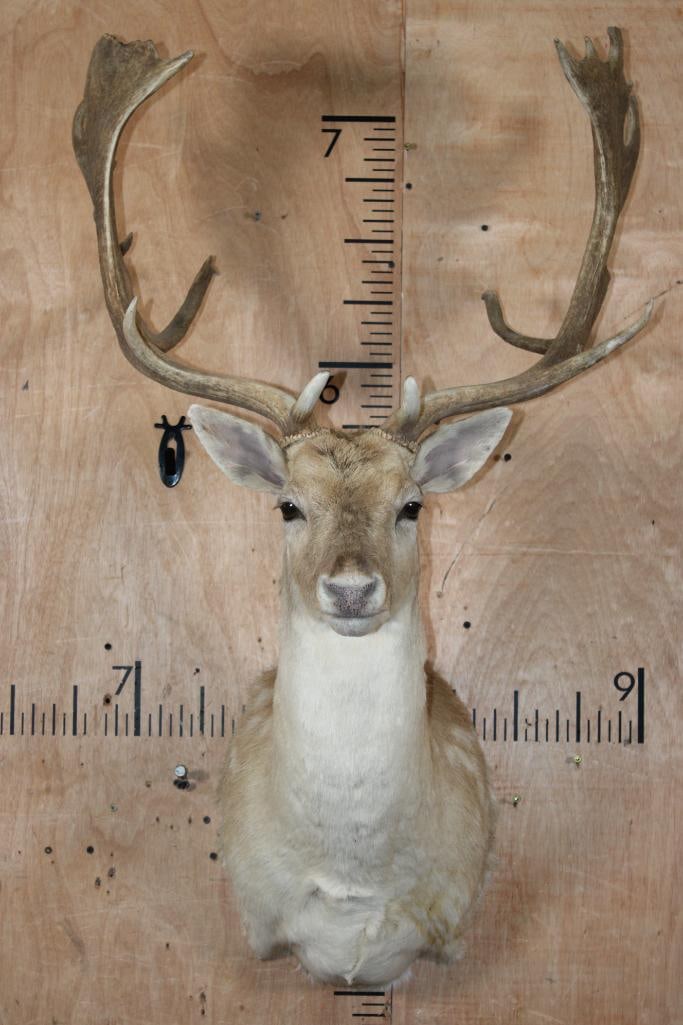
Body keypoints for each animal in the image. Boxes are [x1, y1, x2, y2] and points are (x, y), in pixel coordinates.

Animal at [73, 28, 653, 986]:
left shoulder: (449, 926)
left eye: (411, 504)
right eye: (287, 506)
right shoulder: (262, 931)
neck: (351, 887)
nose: (350, 589)